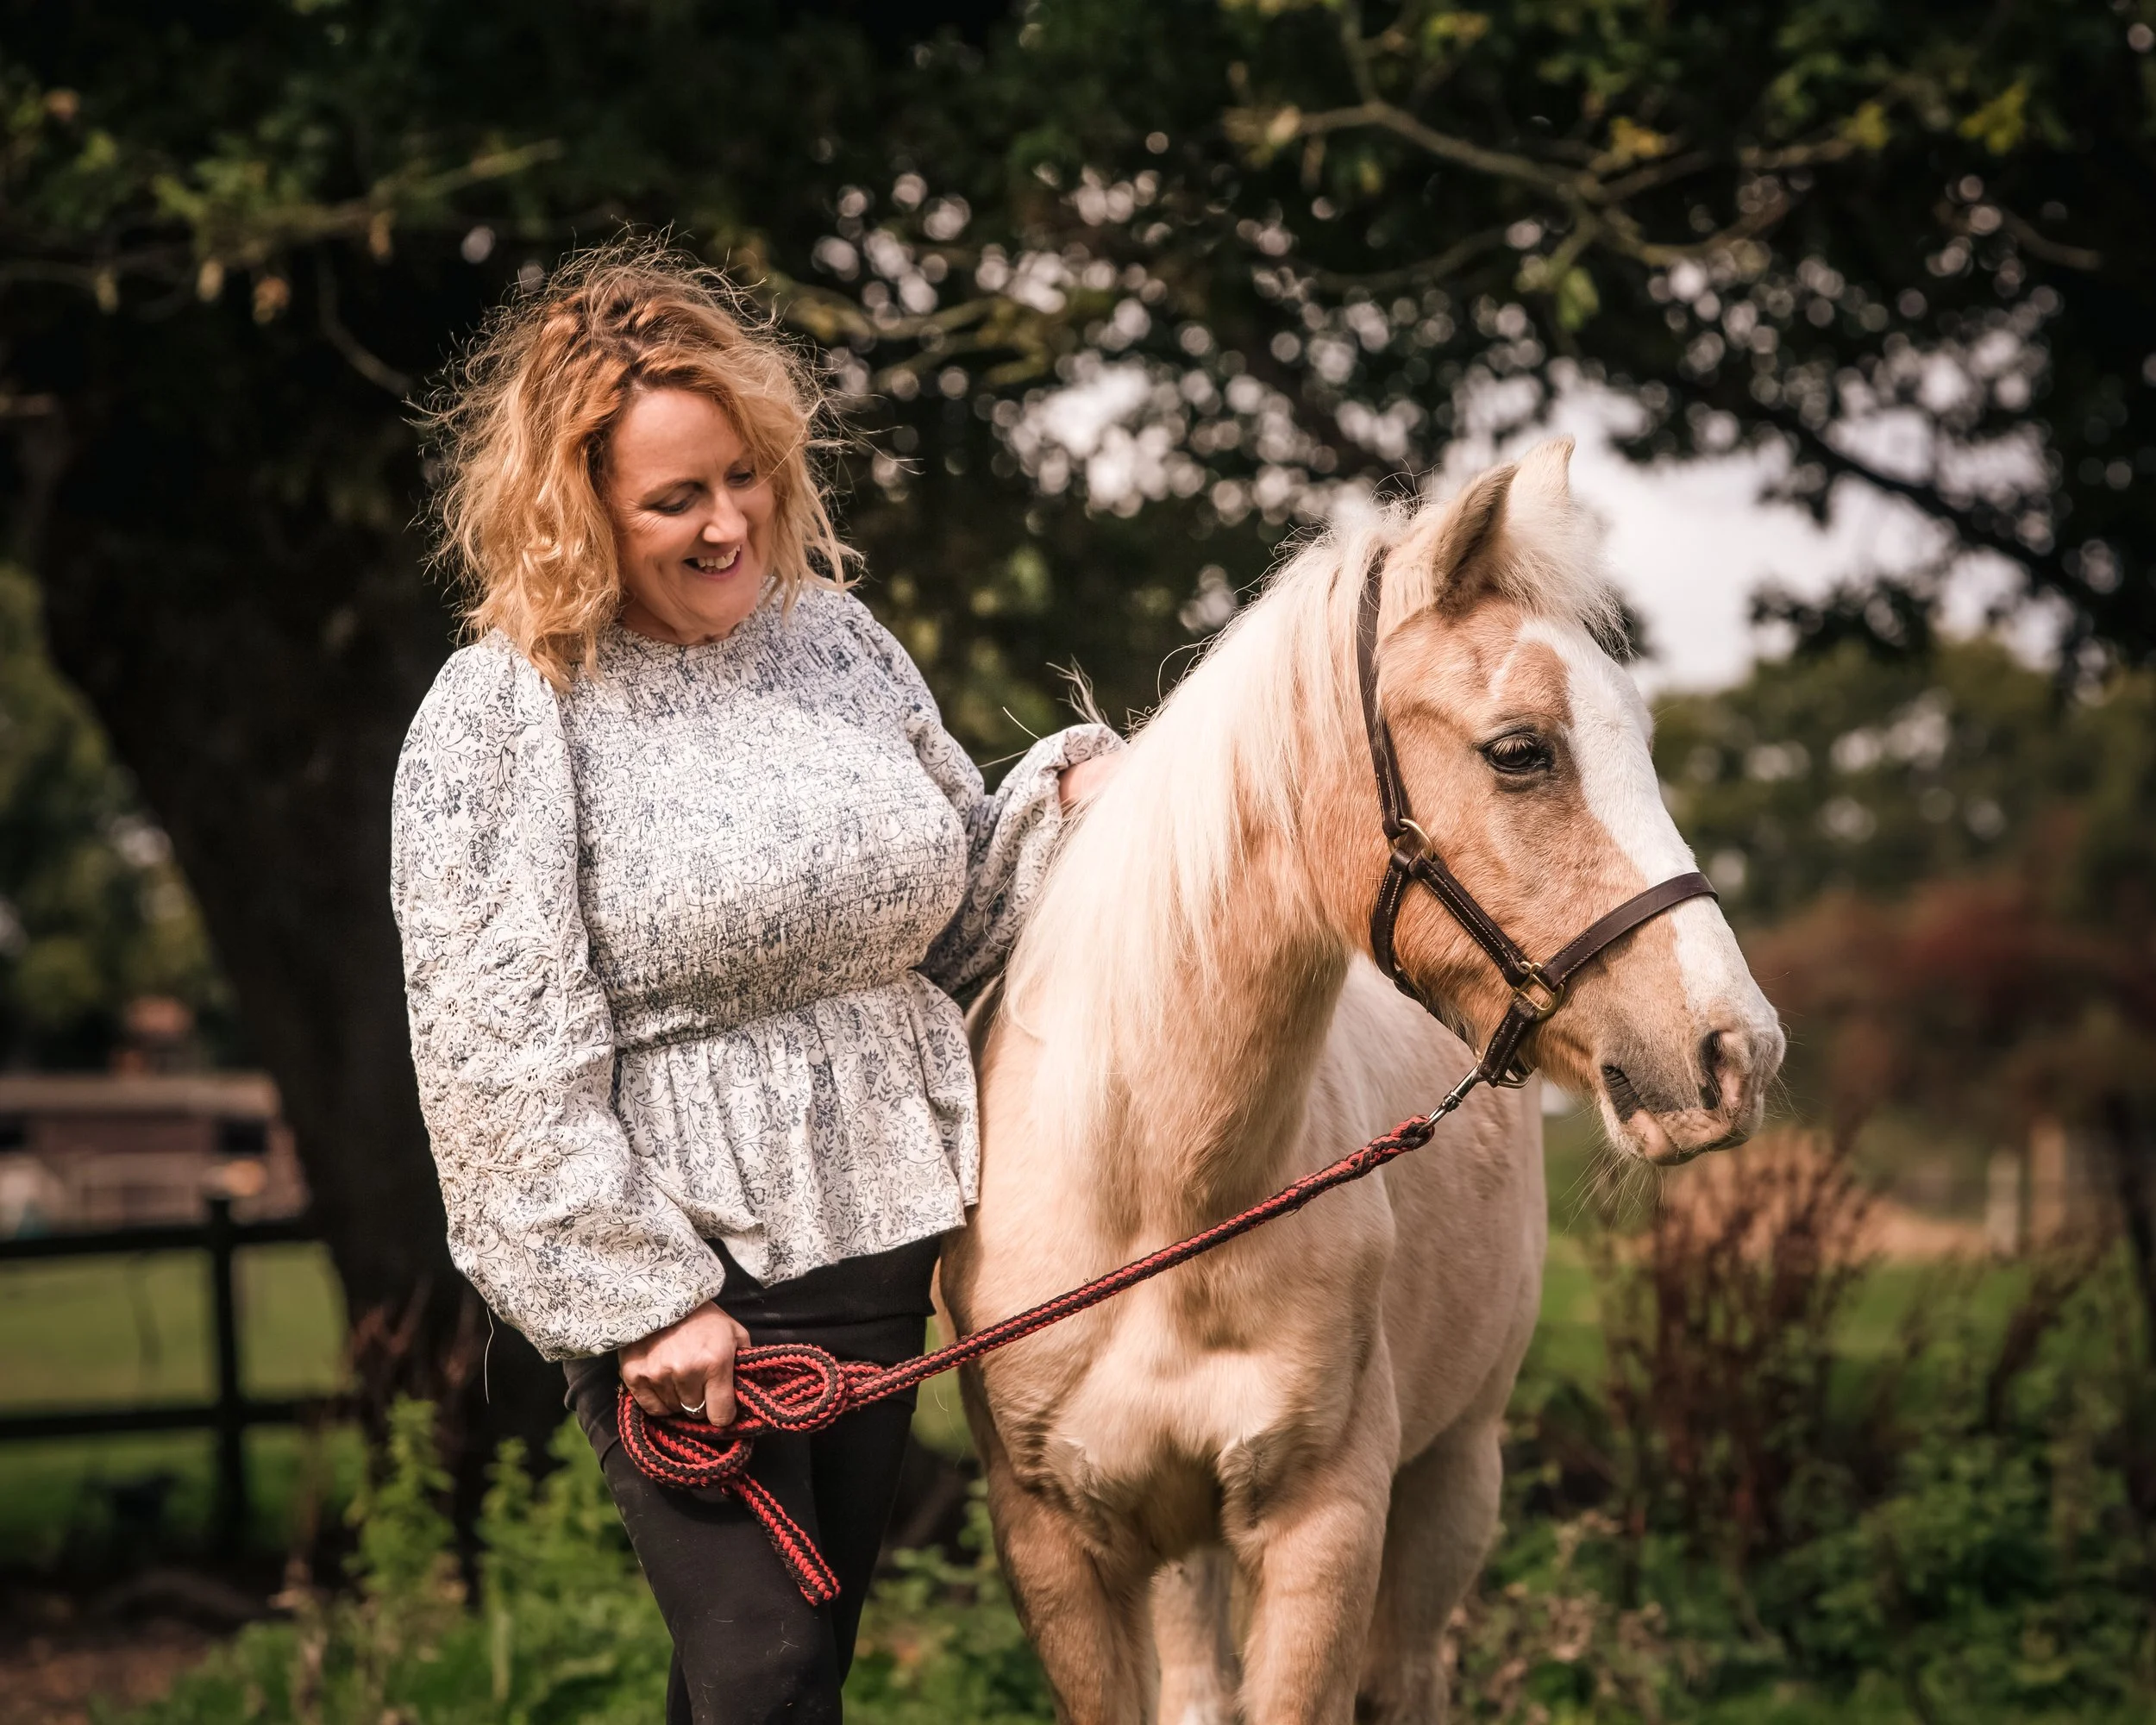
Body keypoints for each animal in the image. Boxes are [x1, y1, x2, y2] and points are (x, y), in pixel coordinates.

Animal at [939, 439, 1785, 1724]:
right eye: (1520, 750)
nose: (1736, 1050)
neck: (1154, 1199)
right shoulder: (1060, 1551)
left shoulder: (1324, 1533)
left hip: (1455, 1480)